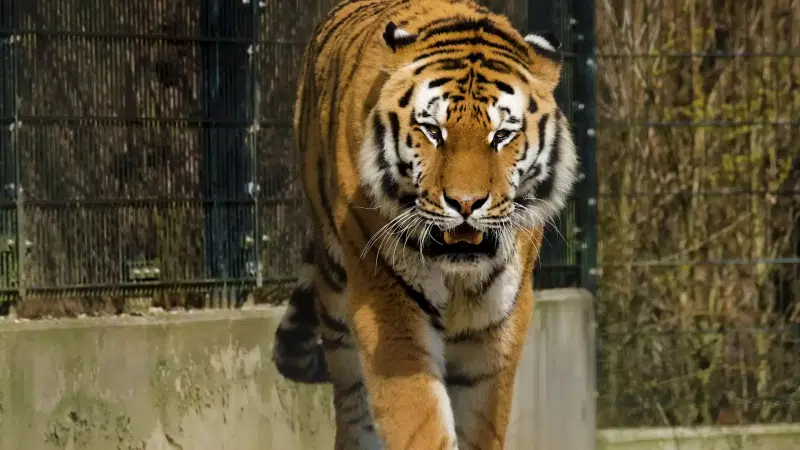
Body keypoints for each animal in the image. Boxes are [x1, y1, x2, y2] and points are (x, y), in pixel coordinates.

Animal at [271, 0, 579, 449]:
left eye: (502, 135)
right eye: (433, 131)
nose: (466, 203)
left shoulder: (498, 321)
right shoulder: (391, 306)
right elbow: (420, 419)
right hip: (337, 299)